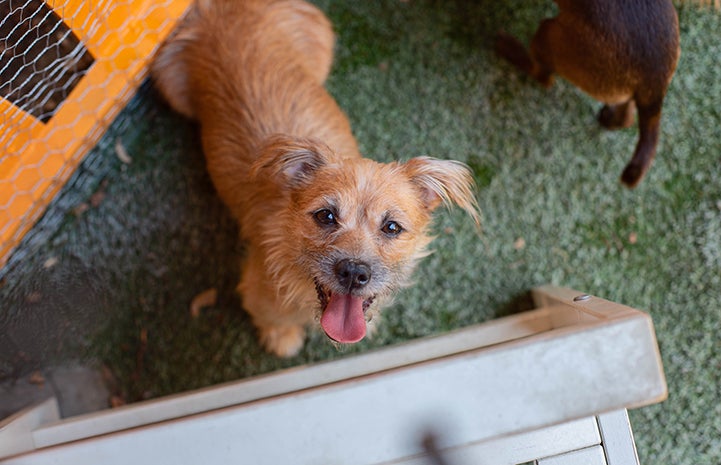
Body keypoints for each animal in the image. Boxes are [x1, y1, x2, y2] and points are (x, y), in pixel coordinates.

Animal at [150, 0, 478, 358]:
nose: (354, 273)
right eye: (326, 216)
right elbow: (272, 320)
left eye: (392, 227)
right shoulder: (256, 293)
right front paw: (282, 339)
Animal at [496, 2, 680, 187]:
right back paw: (609, 118)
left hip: (550, 35)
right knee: (627, 115)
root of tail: (655, 83)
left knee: (544, 77)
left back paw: (510, 48)